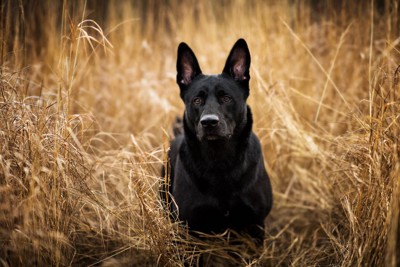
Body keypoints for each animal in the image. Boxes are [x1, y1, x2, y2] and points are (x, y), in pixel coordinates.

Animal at [162, 38, 272, 245]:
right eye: (197, 100)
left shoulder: (255, 225)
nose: (209, 122)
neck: (219, 160)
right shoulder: (189, 229)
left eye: (226, 98)